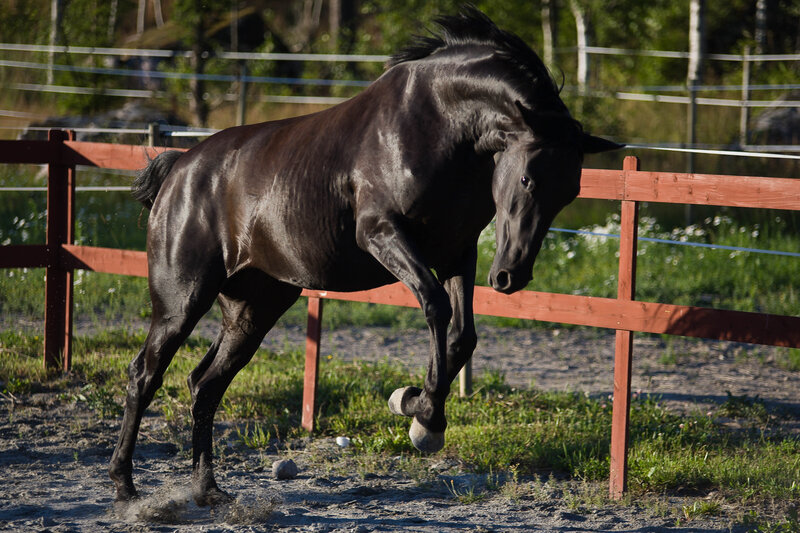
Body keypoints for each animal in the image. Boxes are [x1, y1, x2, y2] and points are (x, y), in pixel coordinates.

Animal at [110, 6, 622, 506]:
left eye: (570, 192)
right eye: (528, 179)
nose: (512, 276)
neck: (438, 125)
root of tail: (179, 167)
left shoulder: (456, 251)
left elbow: (463, 335)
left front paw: (412, 404)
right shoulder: (382, 234)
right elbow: (436, 307)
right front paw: (424, 420)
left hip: (253, 310)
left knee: (205, 385)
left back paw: (207, 488)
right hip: (182, 303)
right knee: (144, 376)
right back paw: (125, 485)